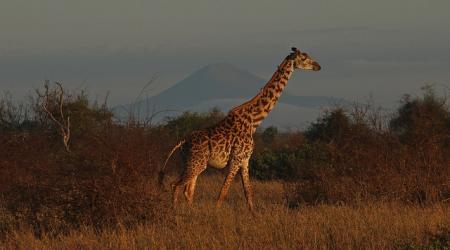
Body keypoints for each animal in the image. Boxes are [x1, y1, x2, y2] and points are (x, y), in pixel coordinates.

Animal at [158, 47, 320, 211]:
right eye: (304, 57)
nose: (318, 66)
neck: (253, 122)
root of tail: (182, 141)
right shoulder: (236, 159)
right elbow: (222, 193)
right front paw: (216, 214)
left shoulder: (245, 160)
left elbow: (248, 193)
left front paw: (254, 215)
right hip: (196, 163)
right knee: (176, 186)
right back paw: (175, 213)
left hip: (190, 162)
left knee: (188, 190)